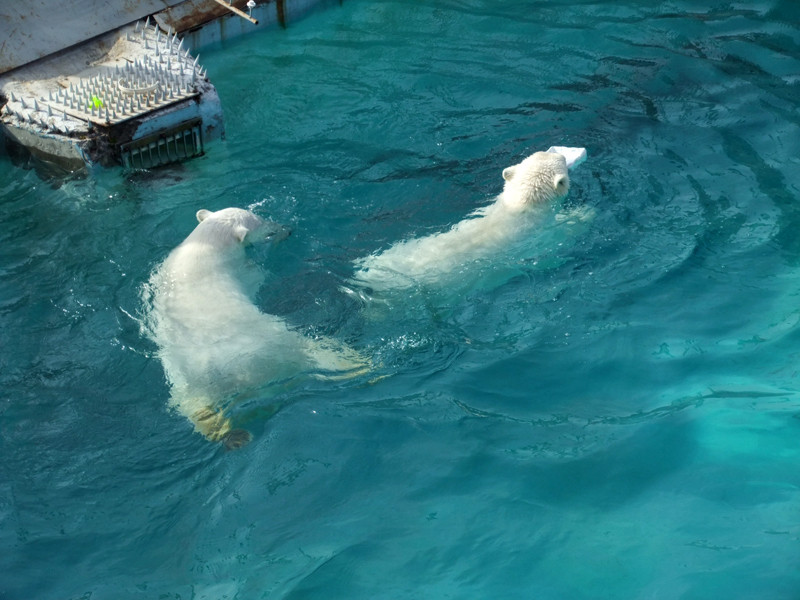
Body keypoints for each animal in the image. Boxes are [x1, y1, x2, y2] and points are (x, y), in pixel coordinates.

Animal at [141, 207, 369, 449]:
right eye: (266, 226)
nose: (288, 230)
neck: (204, 246)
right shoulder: (241, 270)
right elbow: (256, 276)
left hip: (182, 381)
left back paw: (231, 433)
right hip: (270, 346)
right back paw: (356, 365)